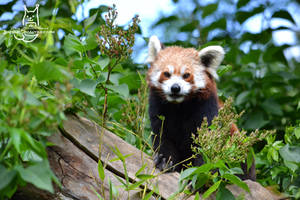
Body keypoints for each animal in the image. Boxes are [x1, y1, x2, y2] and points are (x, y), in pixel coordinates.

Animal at [146, 36, 254, 181]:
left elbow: (207, 146)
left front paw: (200, 172)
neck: (179, 106)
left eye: (186, 75)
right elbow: (162, 138)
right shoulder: (159, 111)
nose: (175, 88)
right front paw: (164, 160)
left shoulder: (206, 110)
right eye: (167, 74)